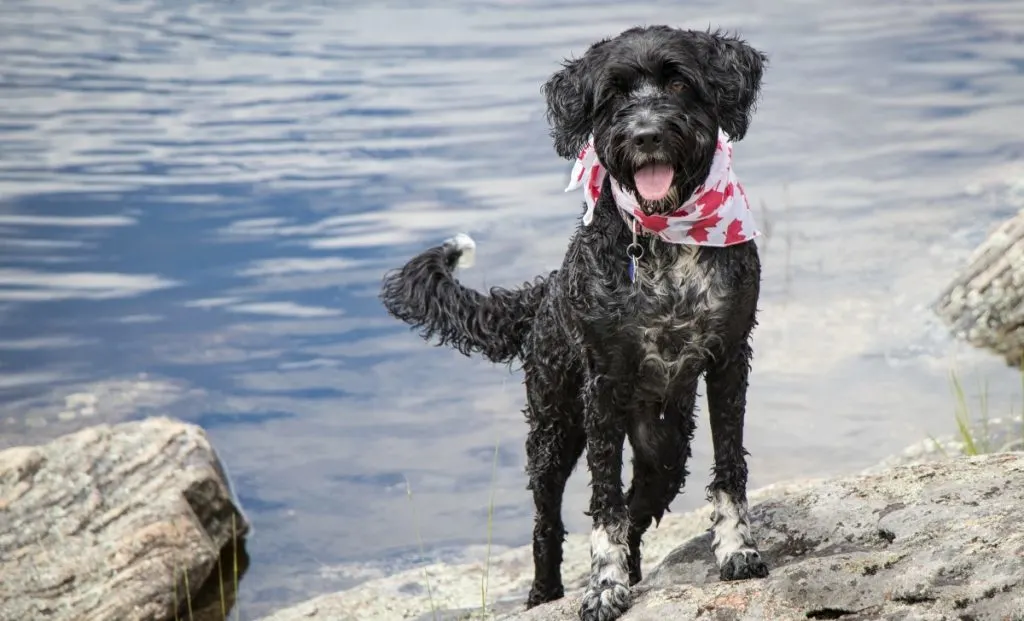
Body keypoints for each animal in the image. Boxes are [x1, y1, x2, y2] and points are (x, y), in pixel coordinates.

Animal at [382, 25, 770, 621]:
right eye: (612, 94)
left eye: (679, 82)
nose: (646, 135)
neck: (663, 238)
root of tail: (545, 292)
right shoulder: (602, 388)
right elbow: (603, 502)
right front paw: (604, 586)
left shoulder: (729, 359)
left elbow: (728, 469)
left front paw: (736, 549)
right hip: (552, 432)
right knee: (547, 524)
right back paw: (545, 593)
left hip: (665, 448)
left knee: (640, 509)